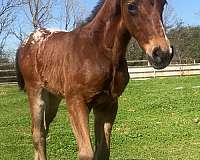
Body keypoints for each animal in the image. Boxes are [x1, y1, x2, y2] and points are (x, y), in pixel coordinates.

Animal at [16, 0, 173, 160]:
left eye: (163, 4)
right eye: (131, 6)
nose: (162, 53)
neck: (98, 50)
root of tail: (26, 43)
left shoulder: (107, 104)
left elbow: (103, 151)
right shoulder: (76, 101)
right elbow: (86, 153)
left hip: (53, 98)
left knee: (43, 130)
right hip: (36, 93)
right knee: (38, 134)